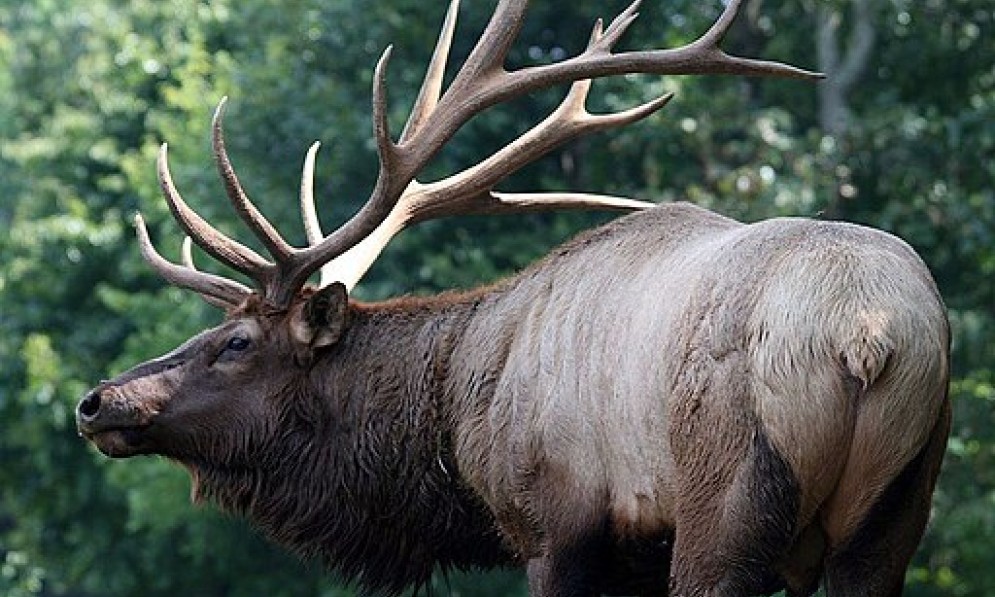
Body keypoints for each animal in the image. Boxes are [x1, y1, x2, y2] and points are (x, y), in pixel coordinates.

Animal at [76, 1, 948, 596]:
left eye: (236, 342)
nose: (96, 400)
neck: (458, 403)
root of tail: (865, 334)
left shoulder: (555, 524)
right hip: (897, 505)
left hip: (729, 494)